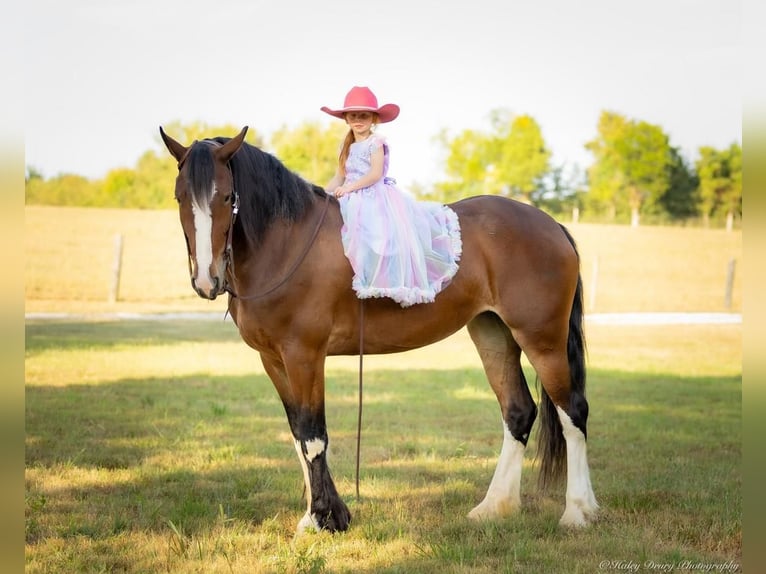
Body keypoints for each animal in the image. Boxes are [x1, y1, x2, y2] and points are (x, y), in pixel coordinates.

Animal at [158, 125, 600, 536]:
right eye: (180, 198)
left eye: (226, 198)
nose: (207, 280)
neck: (286, 242)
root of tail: (551, 224)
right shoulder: (274, 361)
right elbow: (298, 435)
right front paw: (323, 515)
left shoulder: (304, 356)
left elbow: (313, 436)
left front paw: (322, 519)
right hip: (493, 334)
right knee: (518, 411)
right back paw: (494, 507)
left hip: (542, 339)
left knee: (573, 412)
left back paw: (579, 511)